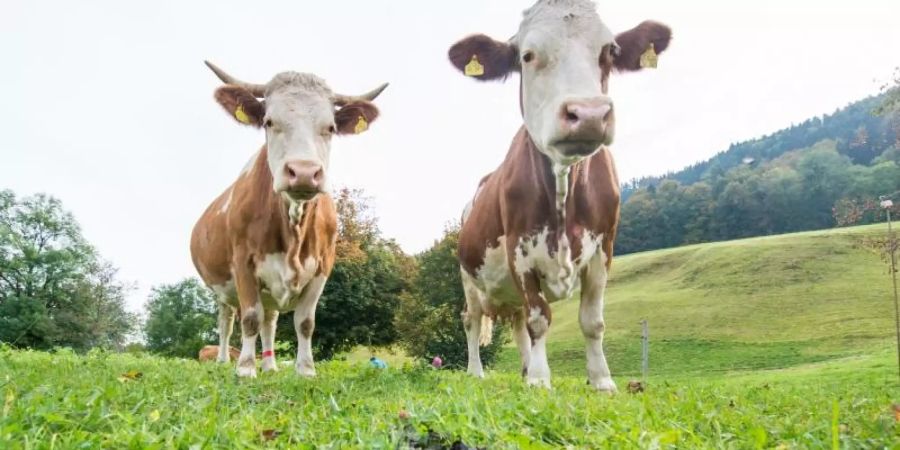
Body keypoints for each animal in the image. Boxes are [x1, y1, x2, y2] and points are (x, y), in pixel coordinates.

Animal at [190, 61, 386, 378]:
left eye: (331, 127)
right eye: (269, 122)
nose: (304, 172)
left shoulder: (323, 266)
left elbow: (304, 322)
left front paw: (305, 370)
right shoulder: (243, 262)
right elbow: (250, 318)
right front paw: (246, 369)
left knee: (269, 322)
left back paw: (270, 365)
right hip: (221, 289)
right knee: (228, 321)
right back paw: (223, 361)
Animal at [450, 0, 668, 390]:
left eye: (610, 51)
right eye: (527, 55)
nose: (589, 114)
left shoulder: (604, 248)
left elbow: (592, 321)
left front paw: (601, 380)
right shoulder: (520, 250)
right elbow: (540, 317)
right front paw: (540, 380)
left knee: (517, 322)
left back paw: (524, 369)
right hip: (468, 278)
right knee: (472, 319)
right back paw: (477, 371)